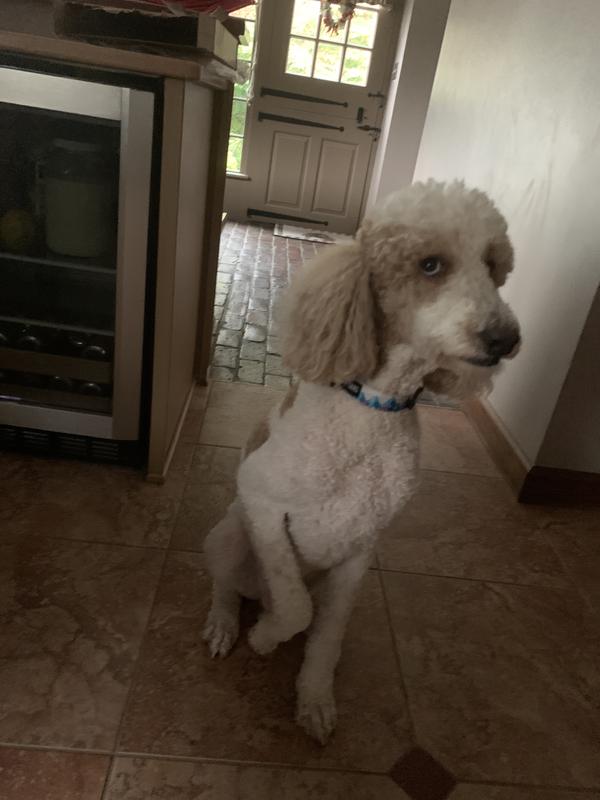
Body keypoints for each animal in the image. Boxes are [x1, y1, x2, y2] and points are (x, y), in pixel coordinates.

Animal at [203, 180, 521, 744]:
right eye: (431, 265)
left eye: (492, 264)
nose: (506, 340)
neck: (371, 411)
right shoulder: (263, 504)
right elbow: (295, 608)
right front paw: (264, 639)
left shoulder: (358, 551)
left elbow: (325, 636)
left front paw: (314, 700)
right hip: (231, 532)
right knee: (224, 582)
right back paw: (225, 624)